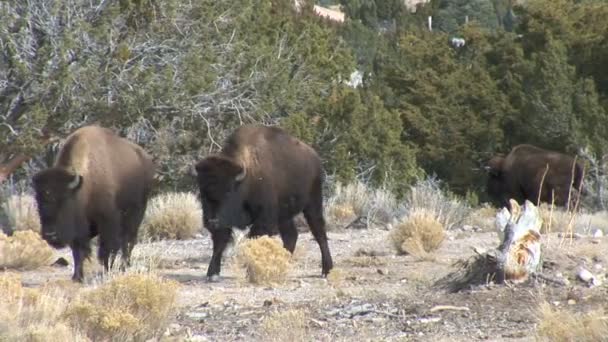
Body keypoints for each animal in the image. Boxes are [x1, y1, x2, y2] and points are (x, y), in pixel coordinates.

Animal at [31, 125, 156, 280]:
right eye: (38, 201)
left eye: (65, 200)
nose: (50, 234)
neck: (83, 186)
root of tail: (146, 158)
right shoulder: (80, 231)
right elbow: (78, 252)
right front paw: (77, 277)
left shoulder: (108, 220)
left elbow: (106, 249)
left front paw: (107, 271)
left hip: (137, 211)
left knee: (128, 240)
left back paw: (123, 266)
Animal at [195, 124, 334, 280]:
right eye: (202, 193)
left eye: (229, 191)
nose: (212, 221)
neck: (245, 179)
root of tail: (315, 158)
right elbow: (219, 243)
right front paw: (212, 273)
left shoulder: (264, 219)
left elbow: (254, 239)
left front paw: (250, 271)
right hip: (284, 216)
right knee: (291, 236)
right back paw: (284, 264)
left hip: (313, 203)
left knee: (319, 232)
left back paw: (327, 270)